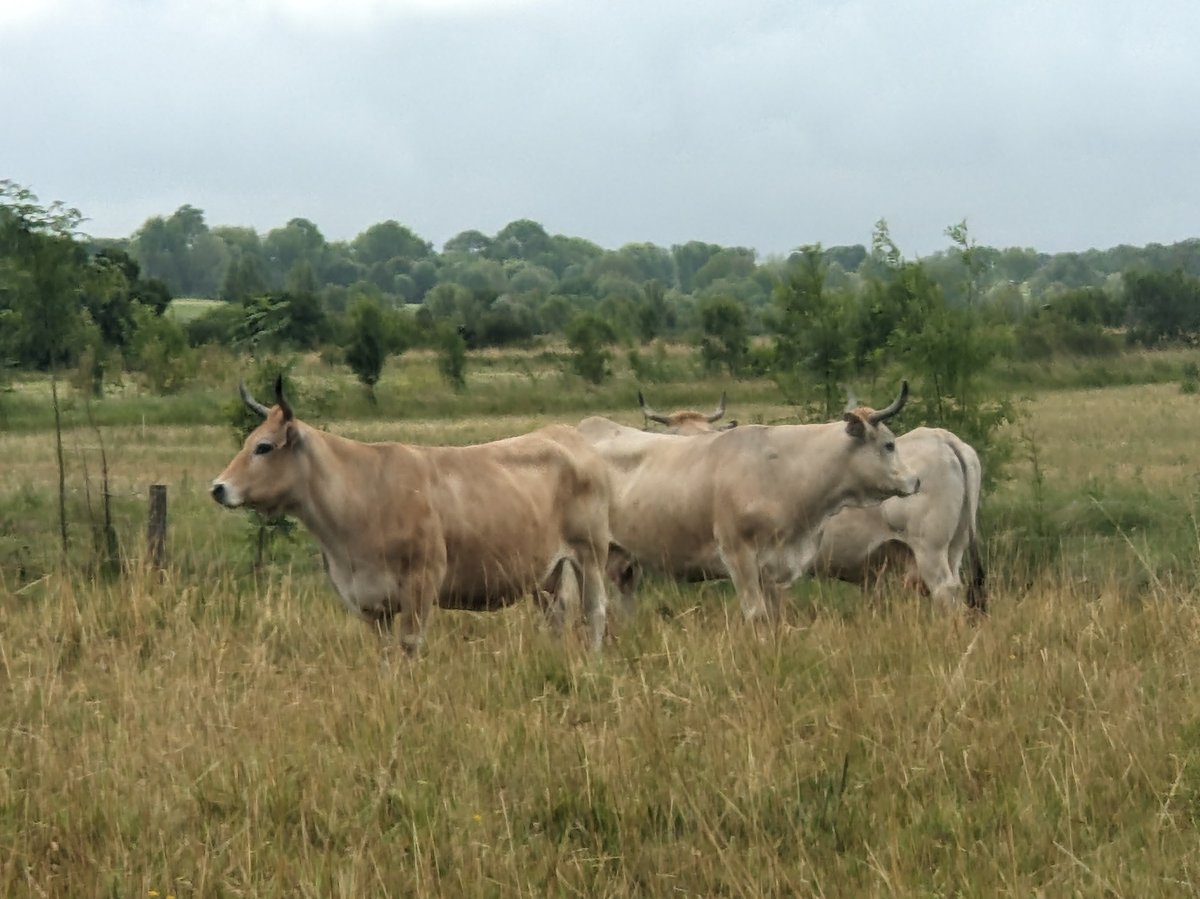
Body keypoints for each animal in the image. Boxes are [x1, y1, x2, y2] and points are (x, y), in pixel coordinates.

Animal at [210, 378, 616, 653]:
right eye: (247, 441)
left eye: (264, 447)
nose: (218, 487)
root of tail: (566, 433)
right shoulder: (370, 602)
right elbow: (386, 651)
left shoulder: (422, 582)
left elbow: (409, 644)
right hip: (547, 571)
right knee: (556, 615)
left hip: (591, 553)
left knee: (594, 611)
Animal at [576, 382, 919, 624]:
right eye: (889, 444)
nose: (916, 481)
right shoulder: (737, 554)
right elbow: (756, 614)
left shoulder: (774, 565)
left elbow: (776, 615)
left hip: (621, 559)